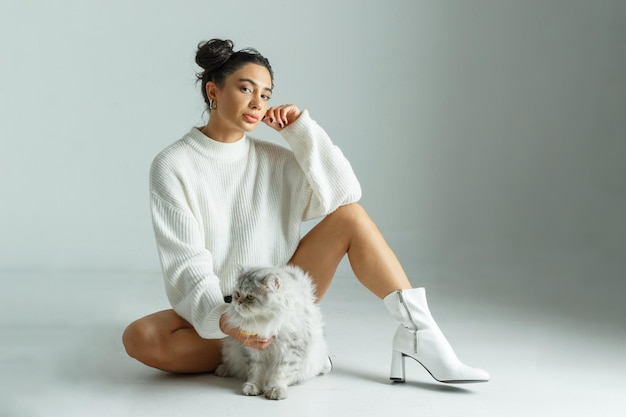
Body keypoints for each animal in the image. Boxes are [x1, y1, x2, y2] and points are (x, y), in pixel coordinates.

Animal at [214, 264, 330, 398]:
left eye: (250, 296)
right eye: (237, 294)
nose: (238, 302)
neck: (267, 321)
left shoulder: (289, 350)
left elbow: (281, 373)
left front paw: (276, 390)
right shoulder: (253, 350)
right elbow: (255, 372)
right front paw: (253, 387)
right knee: (233, 366)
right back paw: (222, 370)